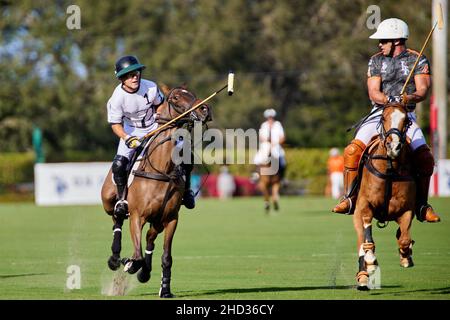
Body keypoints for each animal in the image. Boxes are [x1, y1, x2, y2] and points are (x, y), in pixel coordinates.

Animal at [101, 84, 210, 298]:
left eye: (192, 94)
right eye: (175, 98)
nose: (204, 109)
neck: (162, 168)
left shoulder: (171, 219)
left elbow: (166, 257)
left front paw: (165, 289)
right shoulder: (137, 216)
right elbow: (136, 255)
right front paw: (129, 264)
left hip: (158, 219)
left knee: (150, 237)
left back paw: (144, 271)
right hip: (109, 200)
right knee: (117, 219)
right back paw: (115, 258)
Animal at [354, 102, 416, 290]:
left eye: (406, 120)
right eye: (383, 117)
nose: (393, 147)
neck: (390, 167)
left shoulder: (407, 209)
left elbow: (404, 239)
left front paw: (406, 256)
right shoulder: (365, 205)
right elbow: (367, 240)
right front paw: (371, 261)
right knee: (361, 241)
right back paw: (363, 277)